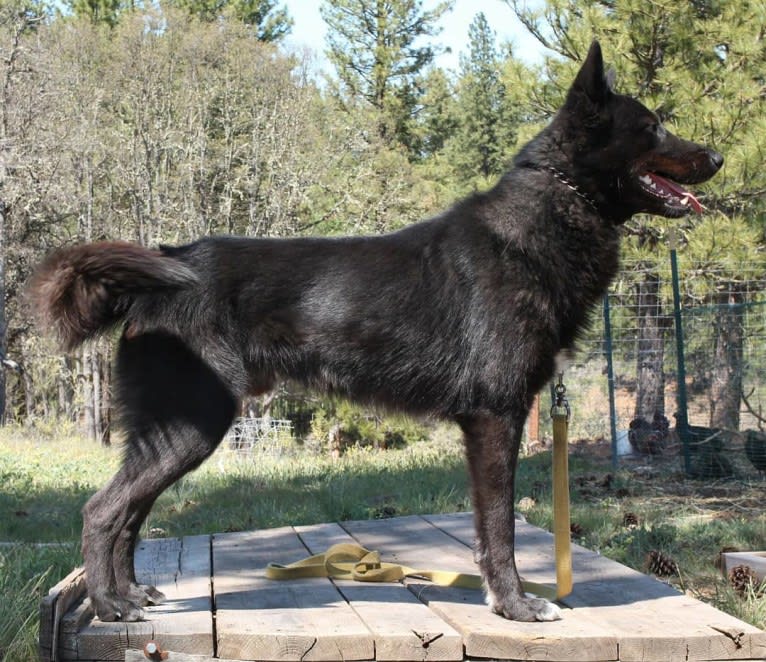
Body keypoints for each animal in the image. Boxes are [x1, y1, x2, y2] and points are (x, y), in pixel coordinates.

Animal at [30, 42, 724, 628]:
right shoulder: (494, 420)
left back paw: (128, 594)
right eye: (653, 126)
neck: (547, 216)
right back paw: (110, 606)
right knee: (103, 510)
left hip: (174, 432)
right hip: (191, 424)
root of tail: (164, 266)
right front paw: (515, 606)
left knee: (129, 513)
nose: (717, 157)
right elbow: (497, 529)